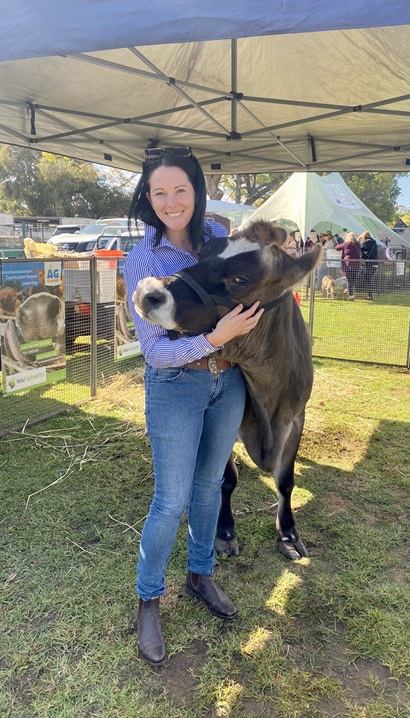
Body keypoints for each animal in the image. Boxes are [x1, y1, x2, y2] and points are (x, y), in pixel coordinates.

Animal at [133, 221, 322, 564]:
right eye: (202, 254)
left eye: (240, 279)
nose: (148, 291)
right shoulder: (227, 422)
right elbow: (224, 480)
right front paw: (223, 532)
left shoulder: (297, 417)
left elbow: (286, 481)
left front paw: (288, 533)